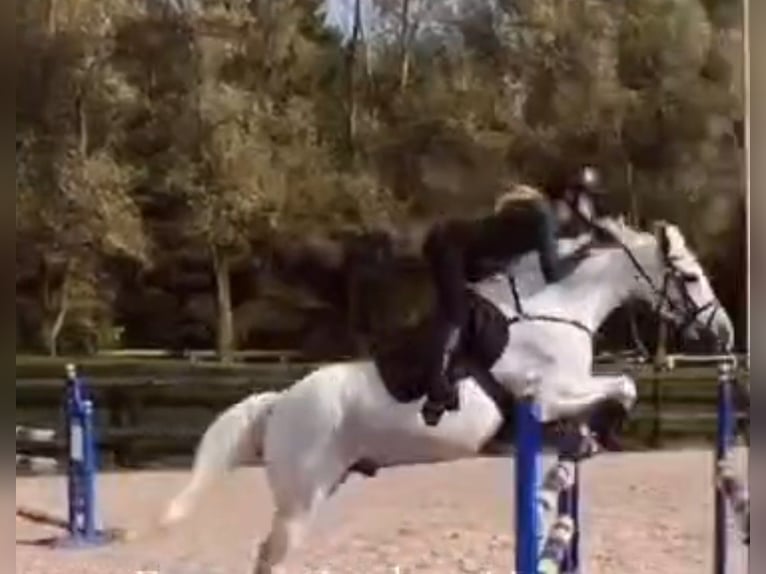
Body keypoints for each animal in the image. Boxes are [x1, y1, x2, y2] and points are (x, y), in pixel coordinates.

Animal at [153, 219, 734, 574]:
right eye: (689, 276)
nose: (724, 332)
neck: (558, 309)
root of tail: (278, 403)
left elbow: (613, 392)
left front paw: (589, 437)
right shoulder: (545, 395)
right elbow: (624, 385)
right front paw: (604, 430)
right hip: (300, 501)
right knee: (270, 558)